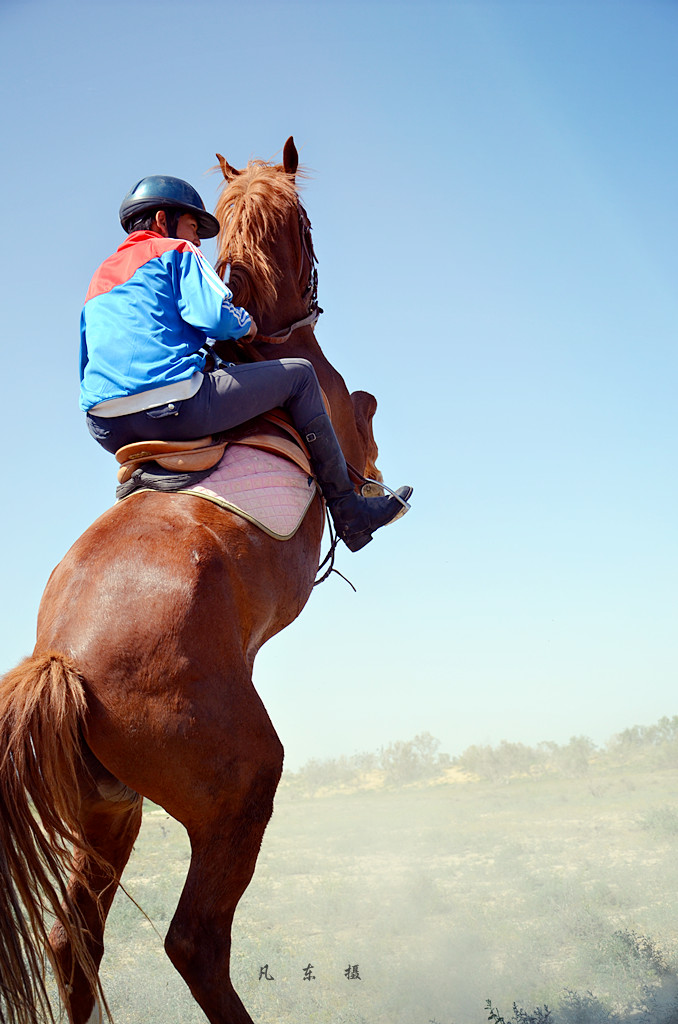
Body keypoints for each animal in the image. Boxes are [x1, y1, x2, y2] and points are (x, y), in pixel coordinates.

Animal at [0, 138, 383, 1024]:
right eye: (309, 222)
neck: (258, 346)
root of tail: (60, 658)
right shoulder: (338, 412)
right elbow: (366, 412)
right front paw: (379, 500)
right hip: (237, 790)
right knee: (195, 941)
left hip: (108, 810)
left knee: (75, 939)